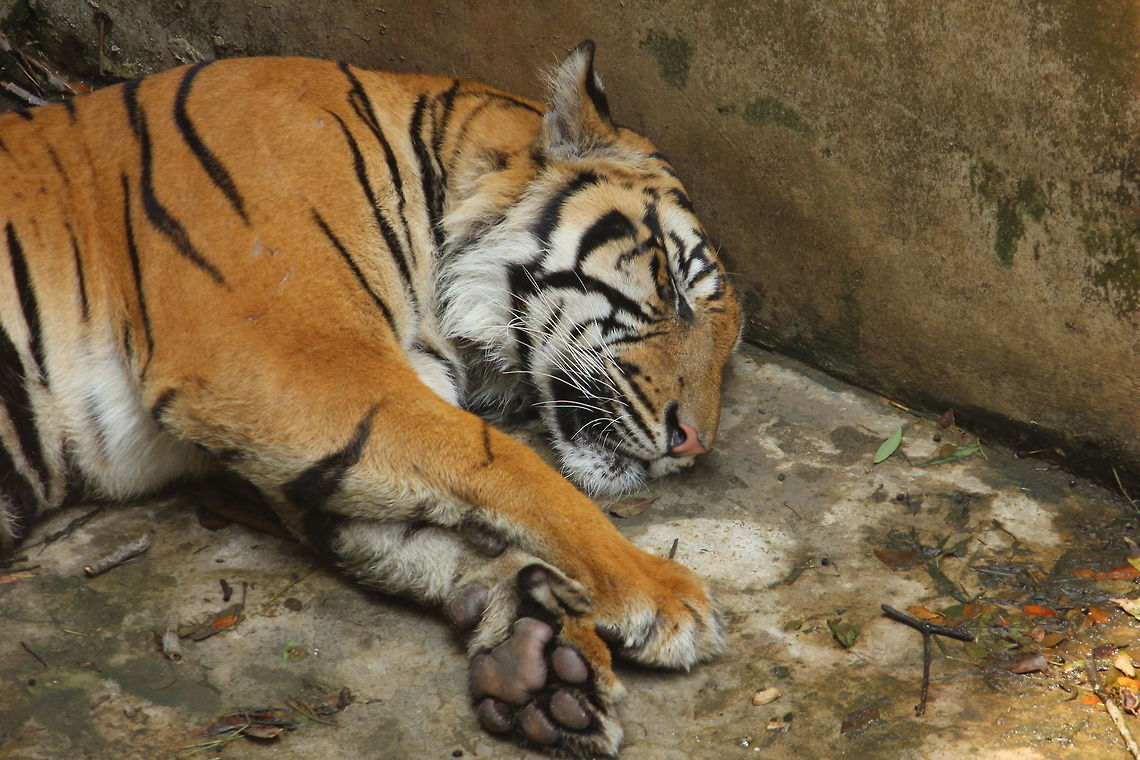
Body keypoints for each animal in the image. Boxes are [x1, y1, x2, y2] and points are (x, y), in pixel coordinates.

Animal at [0, 41, 741, 756]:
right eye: (675, 287)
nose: (694, 444)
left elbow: (435, 526)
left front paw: (544, 658)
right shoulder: (283, 359)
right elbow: (507, 465)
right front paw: (655, 590)